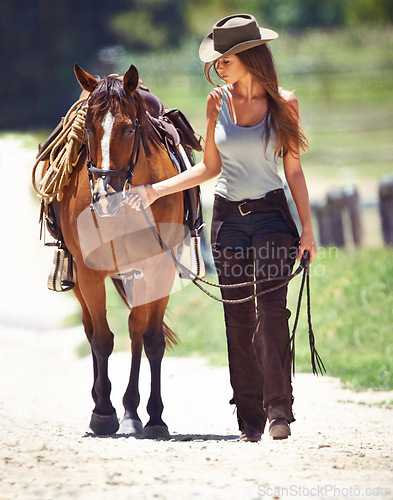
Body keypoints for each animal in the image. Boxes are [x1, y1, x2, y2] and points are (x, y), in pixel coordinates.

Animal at [59, 65, 185, 438]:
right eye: (88, 128)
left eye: (130, 128)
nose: (105, 195)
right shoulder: (88, 272)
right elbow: (102, 339)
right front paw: (103, 413)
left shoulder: (160, 268)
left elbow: (151, 339)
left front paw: (154, 417)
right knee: (92, 330)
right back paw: (104, 401)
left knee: (136, 332)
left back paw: (132, 411)